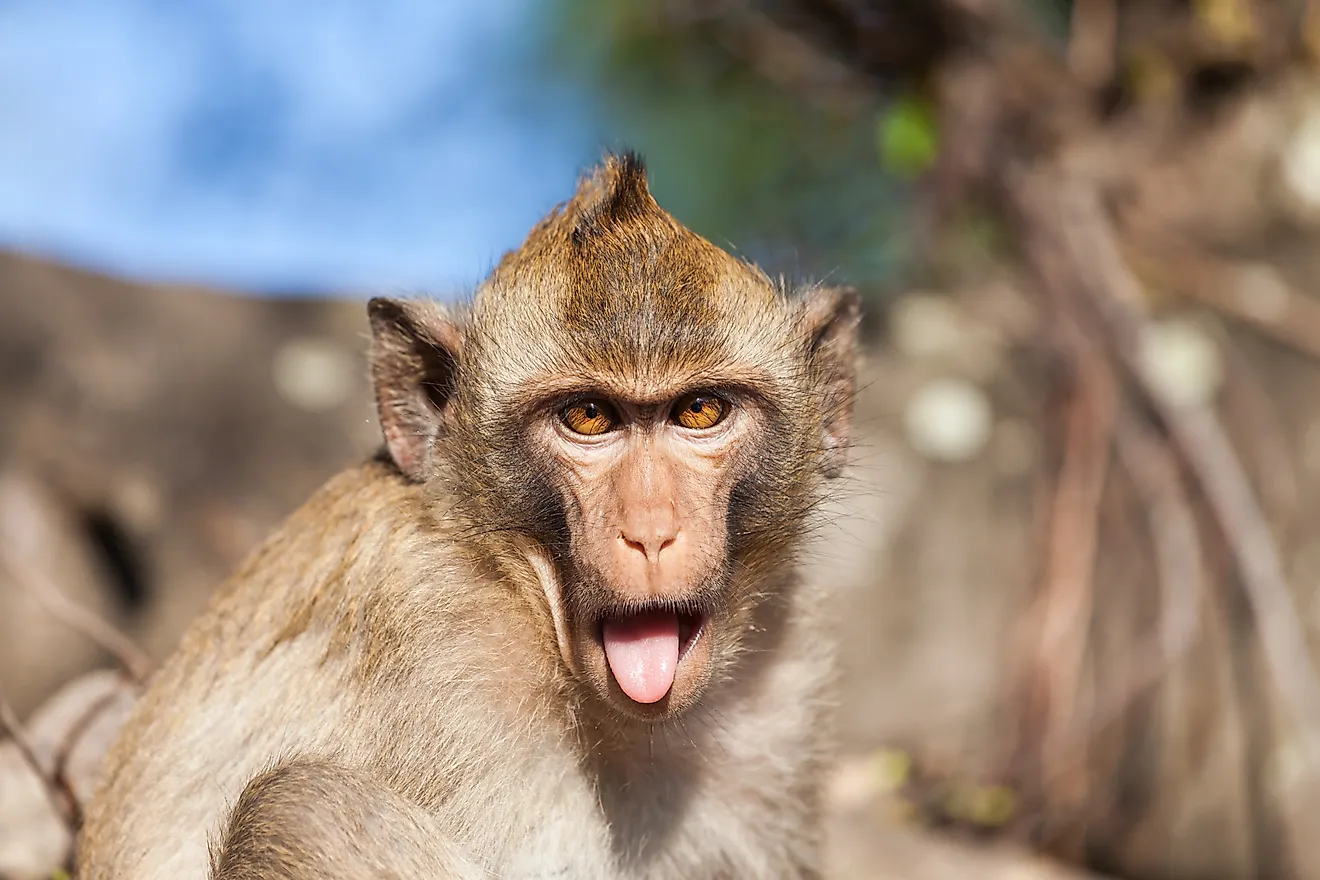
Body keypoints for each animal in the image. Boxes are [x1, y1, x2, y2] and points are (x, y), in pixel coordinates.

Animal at [77, 153, 860, 880]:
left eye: (700, 411)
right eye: (589, 416)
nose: (650, 531)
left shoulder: (778, 694)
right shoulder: (447, 654)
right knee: (304, 807)